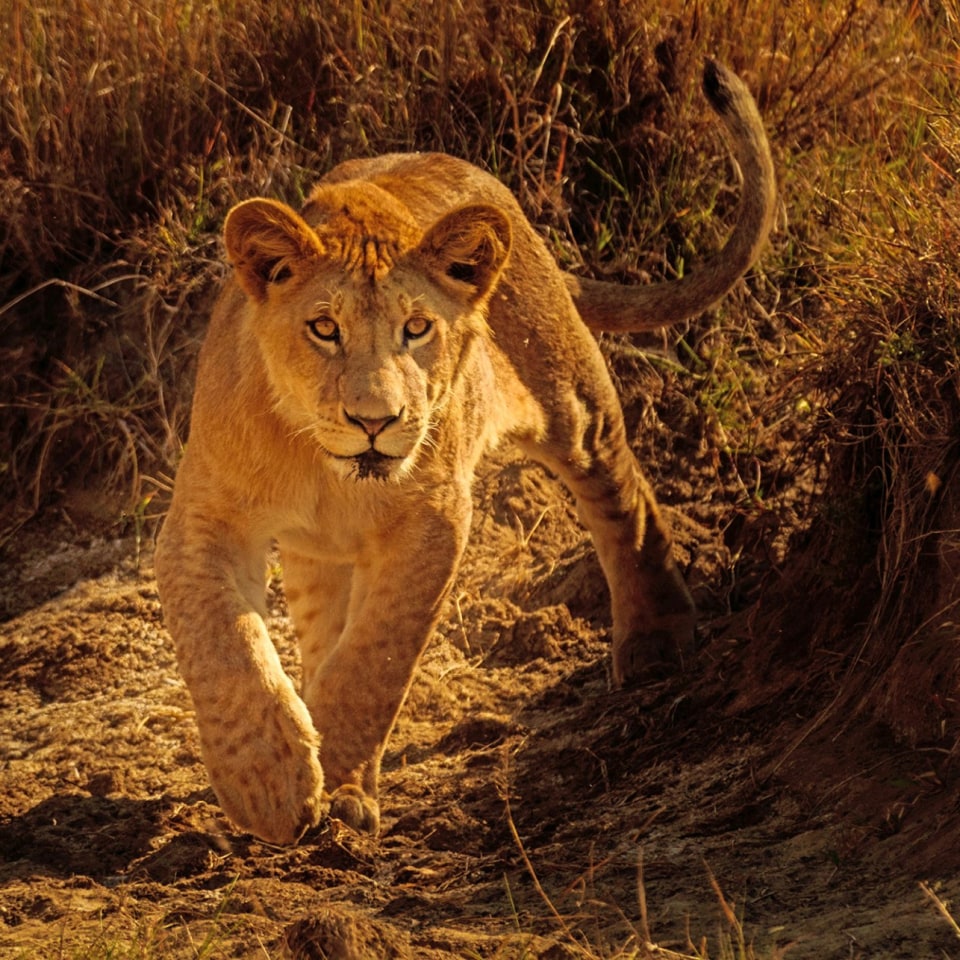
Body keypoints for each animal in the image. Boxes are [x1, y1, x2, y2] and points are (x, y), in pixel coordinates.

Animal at [154, 60, 776, 845]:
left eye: (417, 328)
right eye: (323, 328)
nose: (375, 420)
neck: (325, 469)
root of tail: (487, 185)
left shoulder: (434, 517)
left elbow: (376, 659)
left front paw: (331, 781)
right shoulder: (204, 518)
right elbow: (226, 647)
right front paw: (270, 781)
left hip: (568, 396)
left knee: (621, 493)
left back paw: (656, 641)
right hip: (319, 552)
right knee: (321, 621)